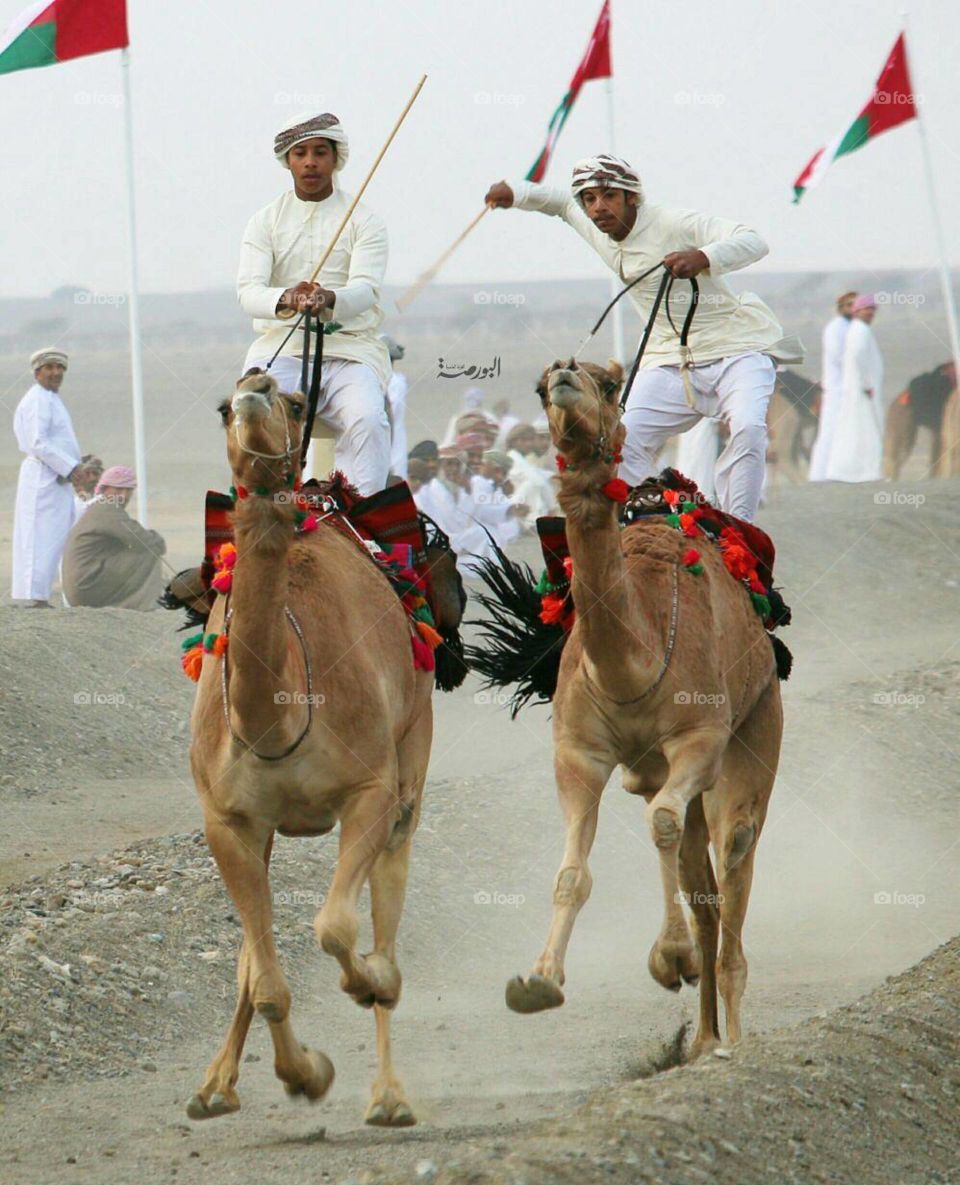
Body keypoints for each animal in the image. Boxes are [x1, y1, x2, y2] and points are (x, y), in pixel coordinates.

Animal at [185, 370, 433, 1127]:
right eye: (223, 406)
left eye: (297, 404)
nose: (256, 389)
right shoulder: (228, 819)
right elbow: (262, 978)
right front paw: (302, 1073)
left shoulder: (370, 791)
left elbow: (336, 927)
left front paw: (371, 984)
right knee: (254, 956)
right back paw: (215, 1084)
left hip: (411, 757)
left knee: (386, 894)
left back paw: (389, 1092)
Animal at [502, 358, 783, 1059]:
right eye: (542, 387)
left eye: (607, 383)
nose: (566, 374)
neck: (634, 657)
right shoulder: (579, 753)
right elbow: (572, 873)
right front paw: (538, 982)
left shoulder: (699, 740)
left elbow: (658, 824)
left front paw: (668, 957)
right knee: (703, 888)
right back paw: (703, 1039)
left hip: (756, 726)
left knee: (733, 861)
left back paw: (733, 1037)